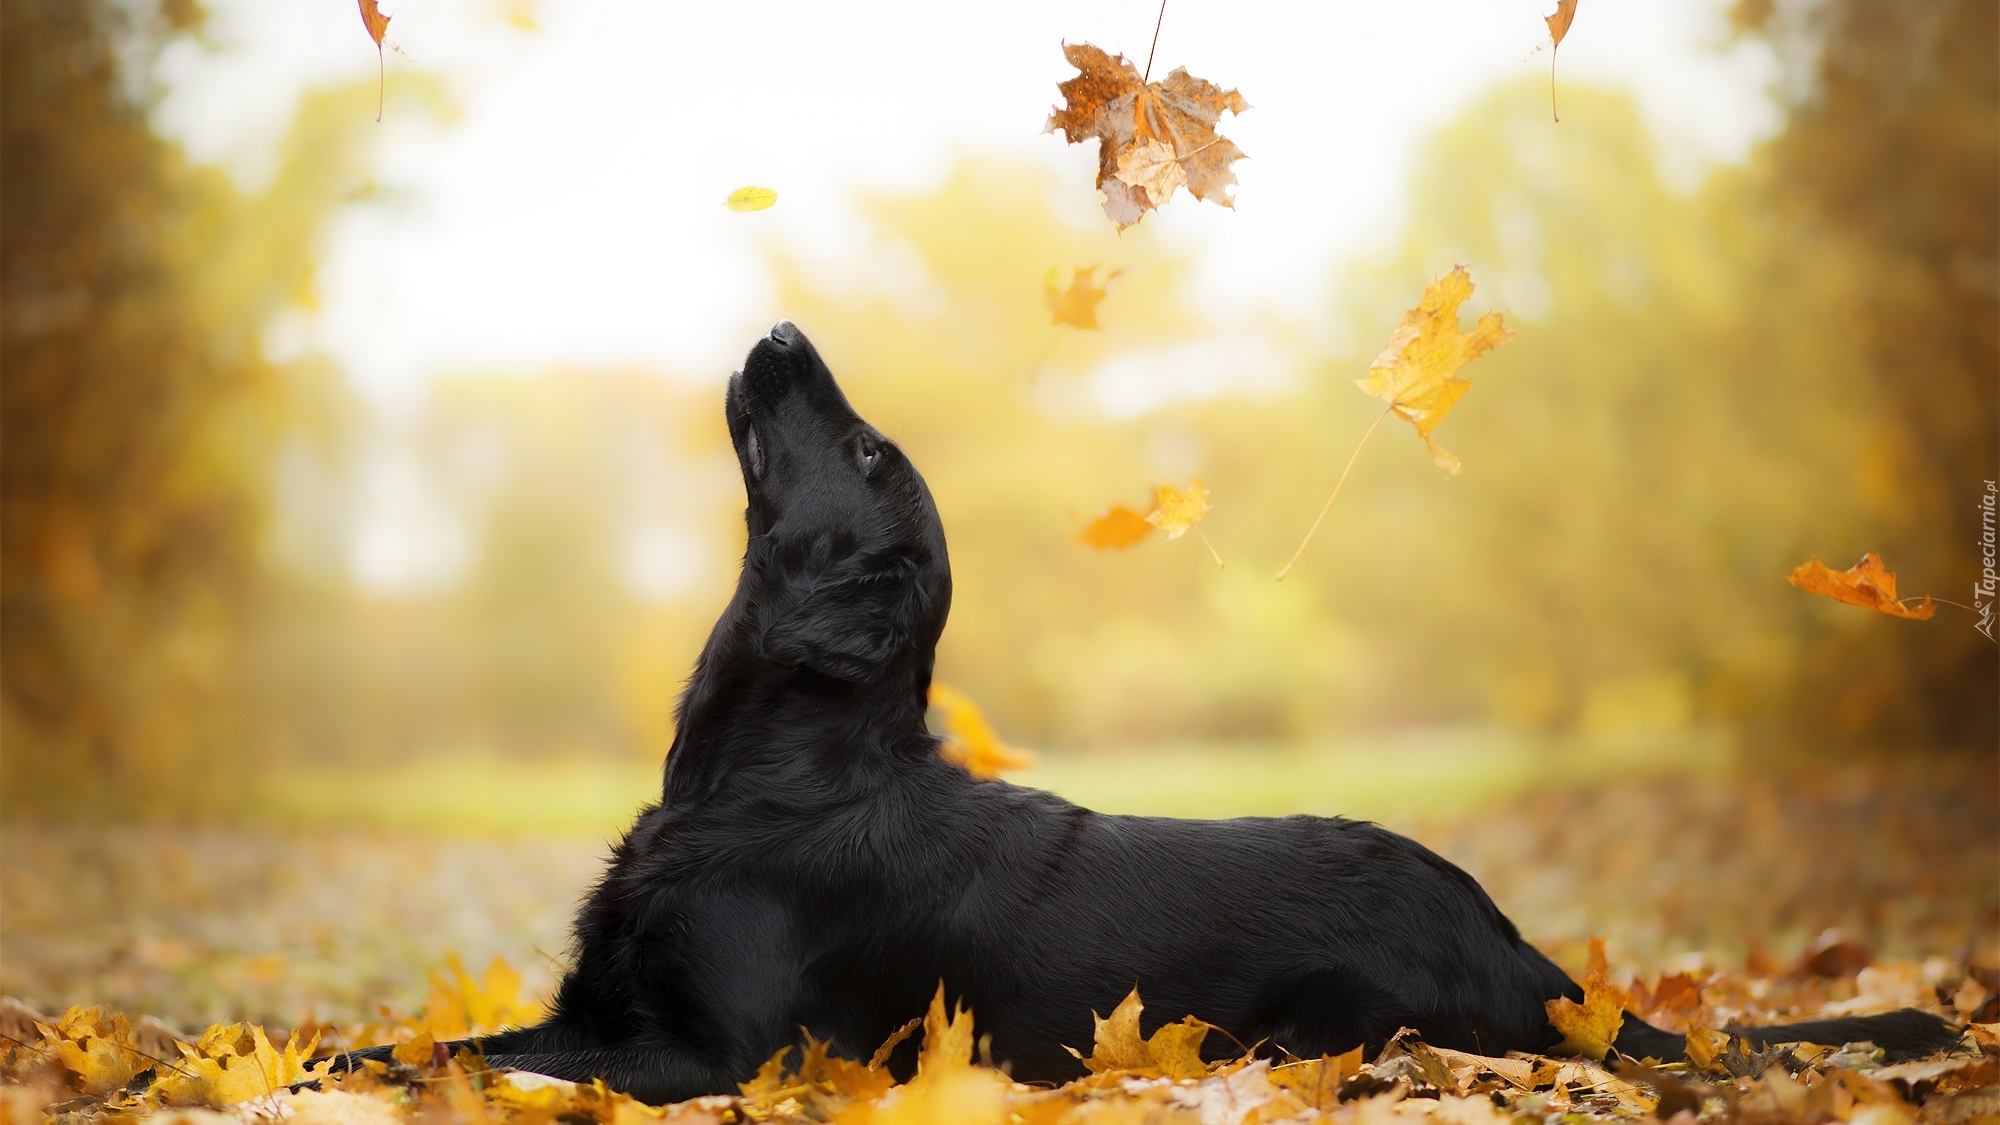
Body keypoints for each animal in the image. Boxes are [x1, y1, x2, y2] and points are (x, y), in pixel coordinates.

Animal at [344, 320, 1952, 1096]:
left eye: (863, 451)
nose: (787, 327)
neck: (770, 775)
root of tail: (1521, 948)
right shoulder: (600, 1002)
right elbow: (422, 1047)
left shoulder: (710, 1048)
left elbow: (518, 1069)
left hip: (1322, 1032)